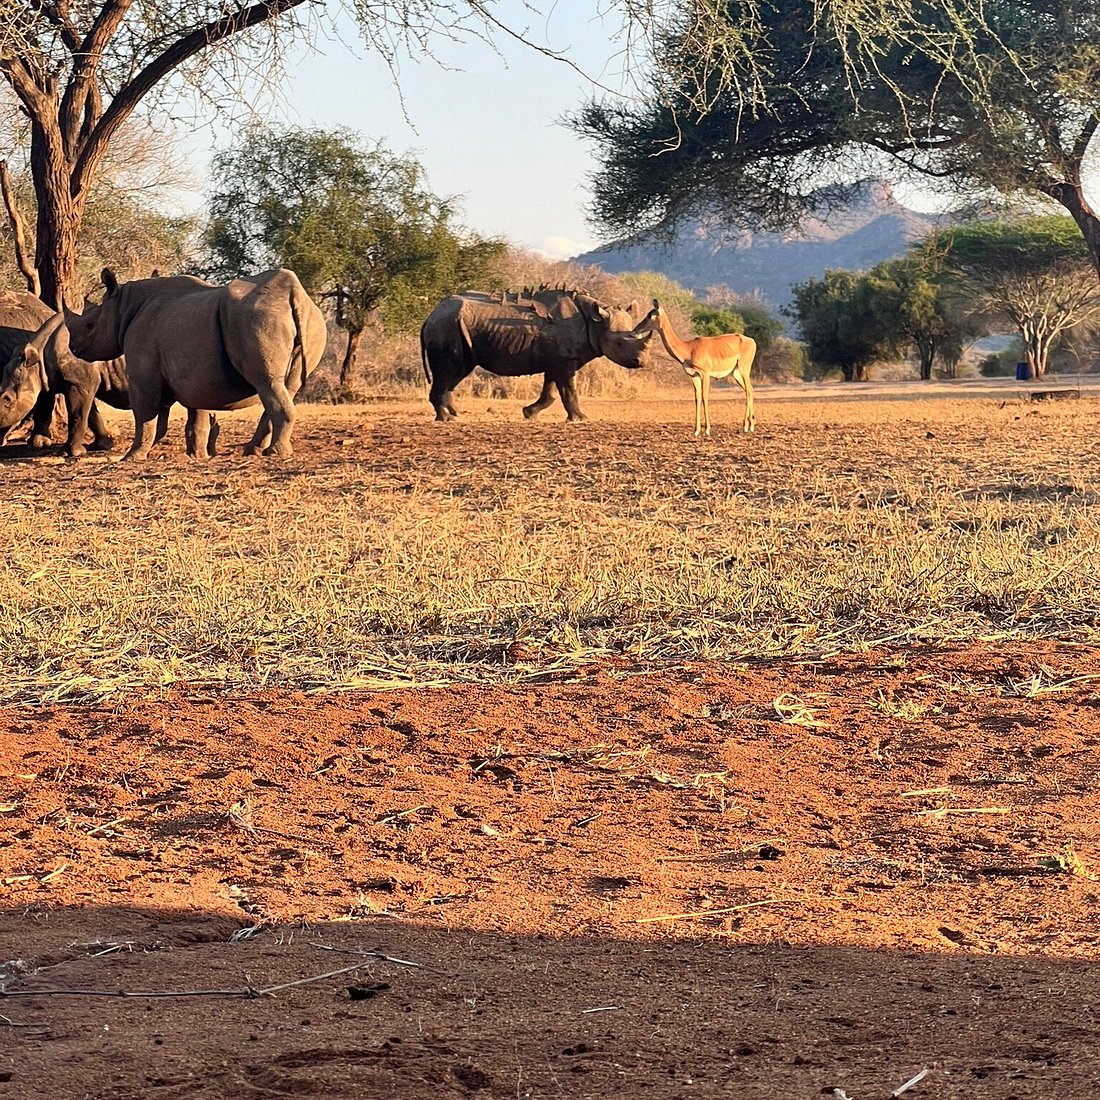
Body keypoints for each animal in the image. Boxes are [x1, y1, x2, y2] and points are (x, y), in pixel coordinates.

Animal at [0, 313, 221, 458]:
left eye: (7, 400)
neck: (38, 355)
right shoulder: (71, 380)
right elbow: (89, 413)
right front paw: (102, 445)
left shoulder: (80, 382)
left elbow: (77, 414)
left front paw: (71, 453)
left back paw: (196, 456)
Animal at [63, 267, 326, 460]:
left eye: (89, 325)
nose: (73, 348)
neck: (123, 307)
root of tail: (295, 295)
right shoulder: (197, 376)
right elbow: (196, 416)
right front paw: (198, 456)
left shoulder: (143, 373)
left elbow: (144, 412)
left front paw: (132, 456)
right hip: (311, 321)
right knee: (286, 387)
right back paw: (253, 452)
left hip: (258, 320)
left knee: (267, 383)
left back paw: (275, 454)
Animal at [419, 289, 653, 422]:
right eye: (619, 343)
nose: (641, 362)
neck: (594, 322)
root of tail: (430, 316)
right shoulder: (564, 361)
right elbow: (569, 390)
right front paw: (581, 419)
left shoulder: (557, 360)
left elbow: (551, 391)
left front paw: (529, 413)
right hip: (447, 327)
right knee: (449, 370)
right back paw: (445, 419)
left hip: (453, 326)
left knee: (457, 371)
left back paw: (454, 414)